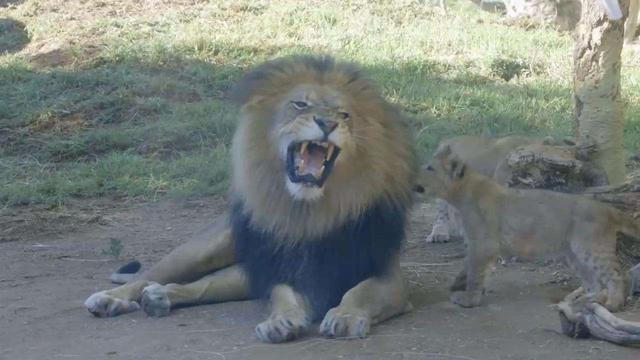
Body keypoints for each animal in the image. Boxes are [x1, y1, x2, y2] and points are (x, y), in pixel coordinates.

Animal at [84, 54, 416, 342]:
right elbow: (281, 295)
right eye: (300, 104)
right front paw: (280, 321)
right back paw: (113, 299)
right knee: (154, 274)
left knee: (205, 283)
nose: (327, 123)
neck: (310, 212)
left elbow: (361, 291)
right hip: (204, 248)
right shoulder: (278, 268)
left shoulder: (386, 274)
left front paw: (345, 316)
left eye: (344, 115)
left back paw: (159, 296)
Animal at [418, 145, 636, 310]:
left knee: (616, 275)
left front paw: (469, 299)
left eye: (429, 168)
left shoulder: (483, 243)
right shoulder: (475, 243)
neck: (459, 195)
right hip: (574, 255)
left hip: (590, 247)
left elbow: (474, 271)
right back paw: (585, 301)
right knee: (594, 283)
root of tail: (606, 208)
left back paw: (613, 304)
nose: (413, 175)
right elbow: (468, 267)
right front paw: (459, 287)